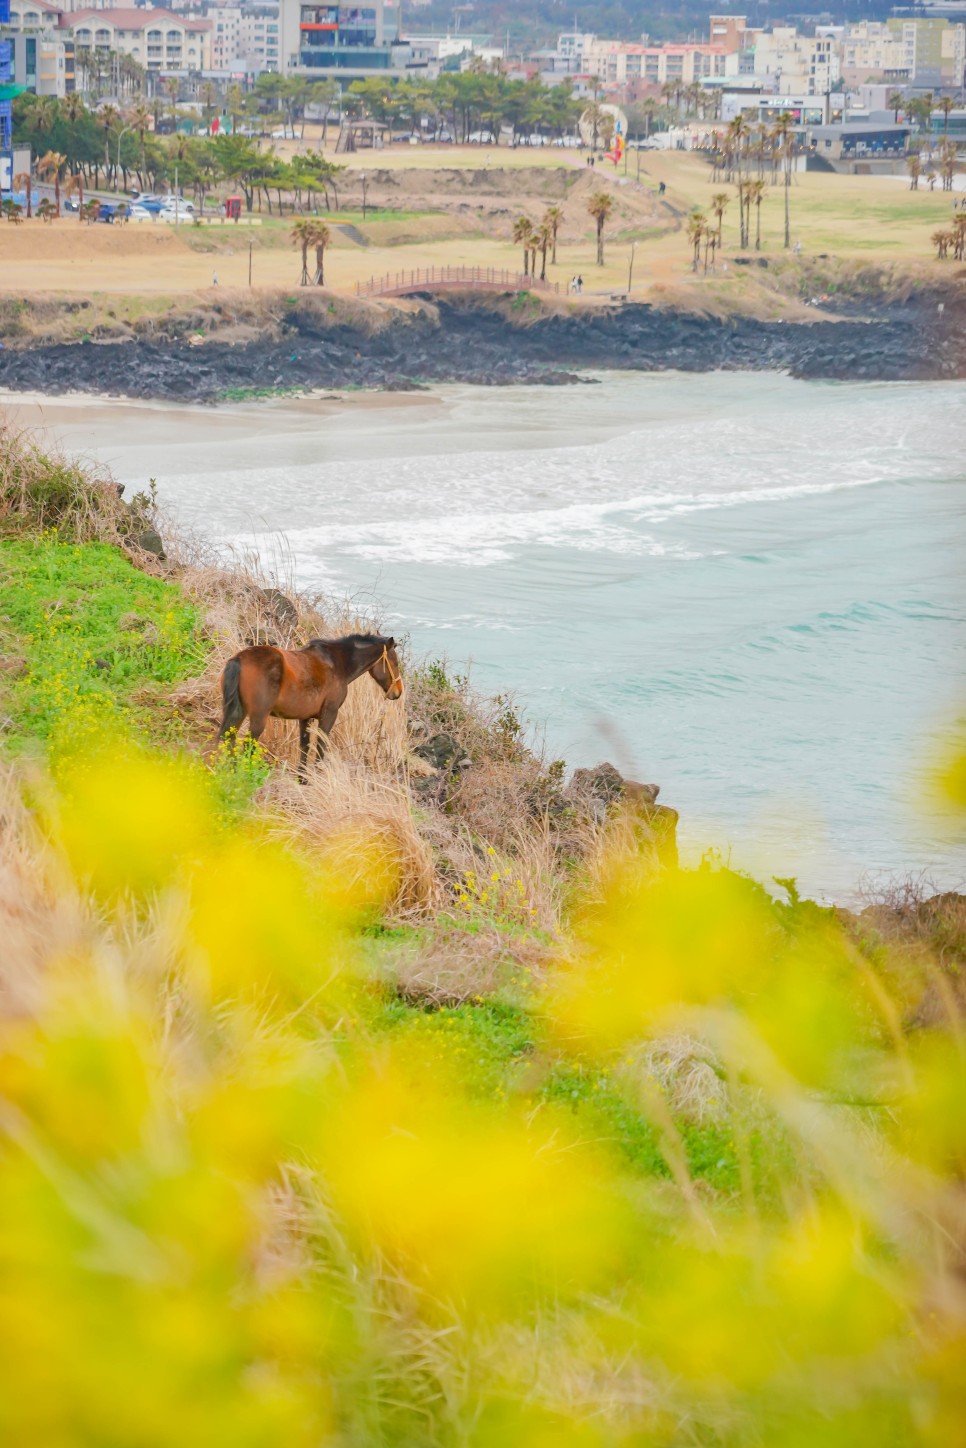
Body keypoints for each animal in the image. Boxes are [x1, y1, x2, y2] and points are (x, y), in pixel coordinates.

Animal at [217, 628, 402, 776]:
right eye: (395, 662)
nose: (398, 692)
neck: (338, 663)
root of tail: (239, 659)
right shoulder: (329, 714)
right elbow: (320, 746)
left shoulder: (305, 717)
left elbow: (304, 746)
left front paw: (302, 778)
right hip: (258, 717)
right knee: (248, 744)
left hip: (238, 712)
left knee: (228, 738)